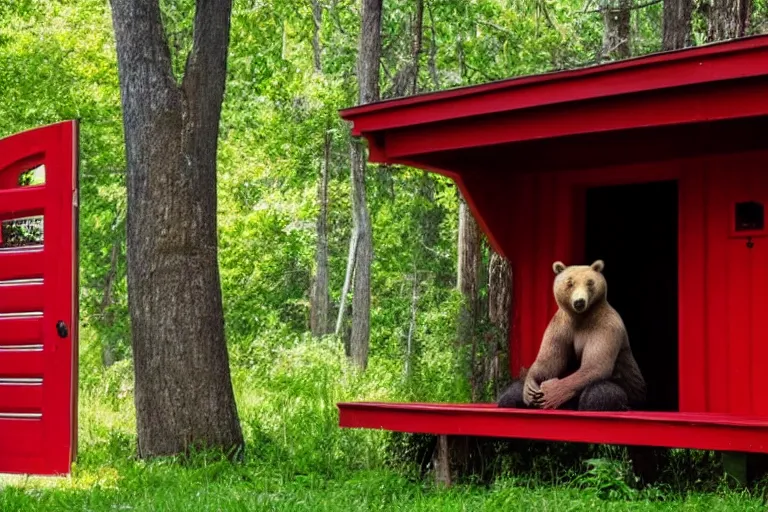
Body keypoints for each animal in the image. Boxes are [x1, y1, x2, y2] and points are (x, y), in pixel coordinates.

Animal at [500, 260, 644, 412]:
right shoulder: (561, 328)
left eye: (590, 282)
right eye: (570, 283)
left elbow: (594, 365)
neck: (580, 318)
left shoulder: (605, 327)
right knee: (511, 392)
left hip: (630, 390)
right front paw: (530, 387)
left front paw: (551, 392)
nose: (579, 302)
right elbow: (549, 362)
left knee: (600, 392)